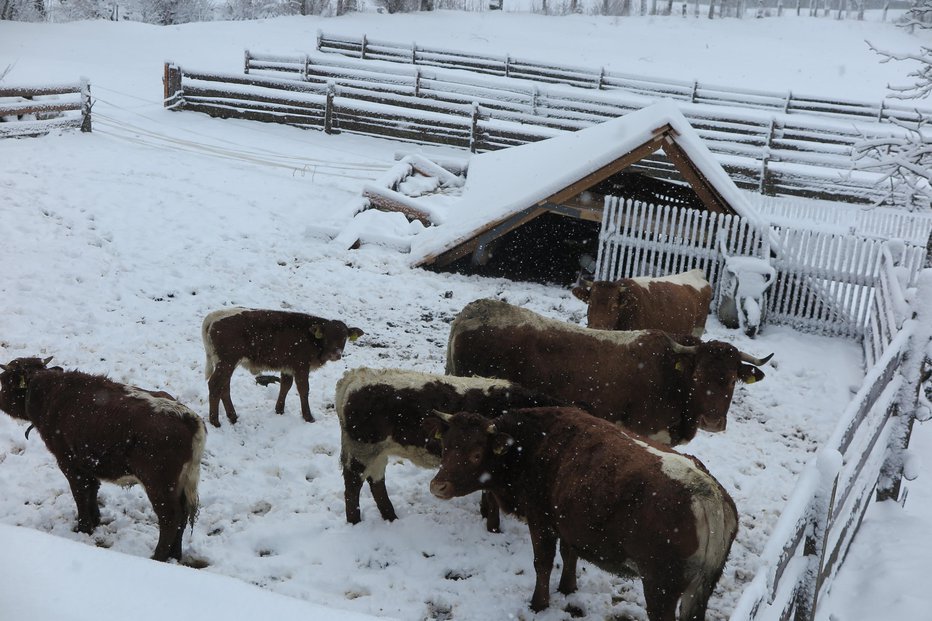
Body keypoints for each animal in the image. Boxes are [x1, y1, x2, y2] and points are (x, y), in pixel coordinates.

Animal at [0, 354, 206, 560]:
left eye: (4, 380)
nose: (0, 401)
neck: (50, 392)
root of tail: (187, 416)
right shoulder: (88, 464)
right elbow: (92, 490)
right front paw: (95, 519)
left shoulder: (69, 463)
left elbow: (80, 494)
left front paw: (83, 528)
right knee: (183, 516)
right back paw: (175, 554)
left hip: (159, 486)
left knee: (170, 519)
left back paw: (158, 557)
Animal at [202, 306, 362, 426]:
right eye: (327, 336)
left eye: (344, 337)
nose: (336, 354)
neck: (311, 338)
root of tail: (214, 316)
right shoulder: (301, 366)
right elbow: (303, 389)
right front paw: (308, 417)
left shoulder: (288, 367)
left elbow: (285, 385)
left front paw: (279, 410)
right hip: (227, 362)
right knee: (215, 385)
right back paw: (215, 421)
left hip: (226, 363)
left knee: (224, 387)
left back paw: (233, 416)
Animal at [334, 366, 560, 532]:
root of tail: (357, 376)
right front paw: (493, 528)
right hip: (362, 450)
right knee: (353, 485)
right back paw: (355, 522)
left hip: (378, 452)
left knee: (376, 482)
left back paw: (391, 517)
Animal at [426, 406, 740, 620]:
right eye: (445, 446)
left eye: (476, 454)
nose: (437, 485)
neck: (532, 444)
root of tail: (707, 494)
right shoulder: (569, 525)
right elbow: (569, 555)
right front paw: (568, 587)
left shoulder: (541, 521)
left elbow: (543, 562)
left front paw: (539, 604)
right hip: (701, 589)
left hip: (661, 588)